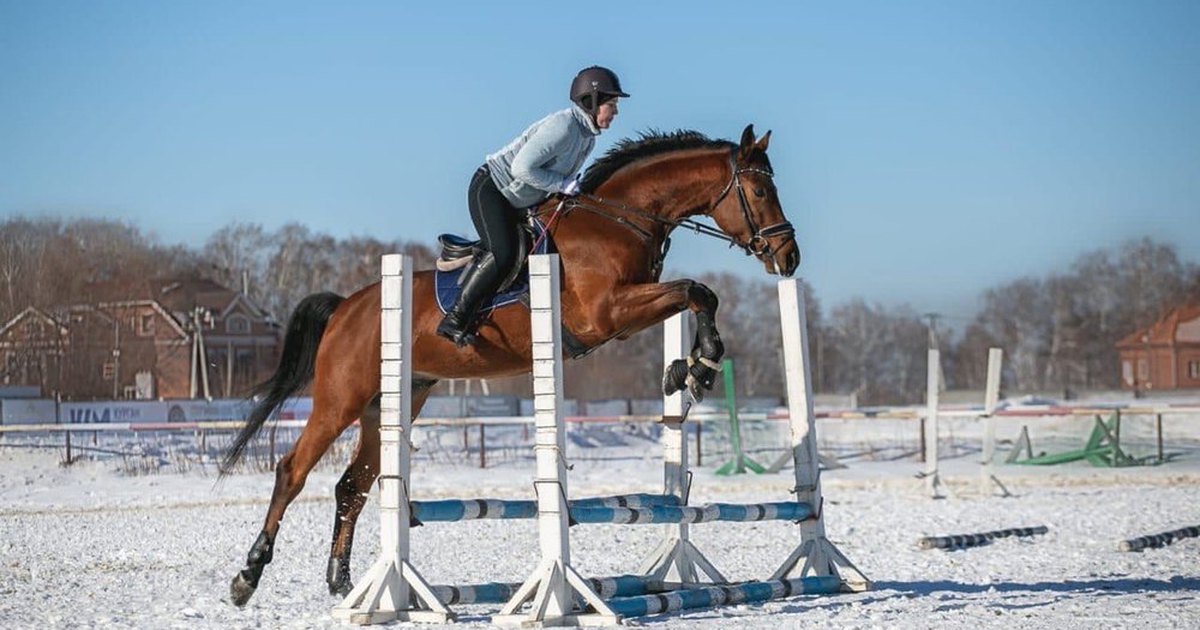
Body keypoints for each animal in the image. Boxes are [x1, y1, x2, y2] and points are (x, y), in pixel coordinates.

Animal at [225, 124, 801, 604]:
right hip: (340, 398)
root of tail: (348, 305)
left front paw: (691, 368)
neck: (617, 221)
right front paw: (699, 366)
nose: (788, 256)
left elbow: (698, 294)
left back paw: (342, 581)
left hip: (392, 402)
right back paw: (248, 576)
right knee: (292, 471)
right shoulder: (607, 312)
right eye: (759, 192)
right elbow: (696, 290)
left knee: (353, 484)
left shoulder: (625, 313)